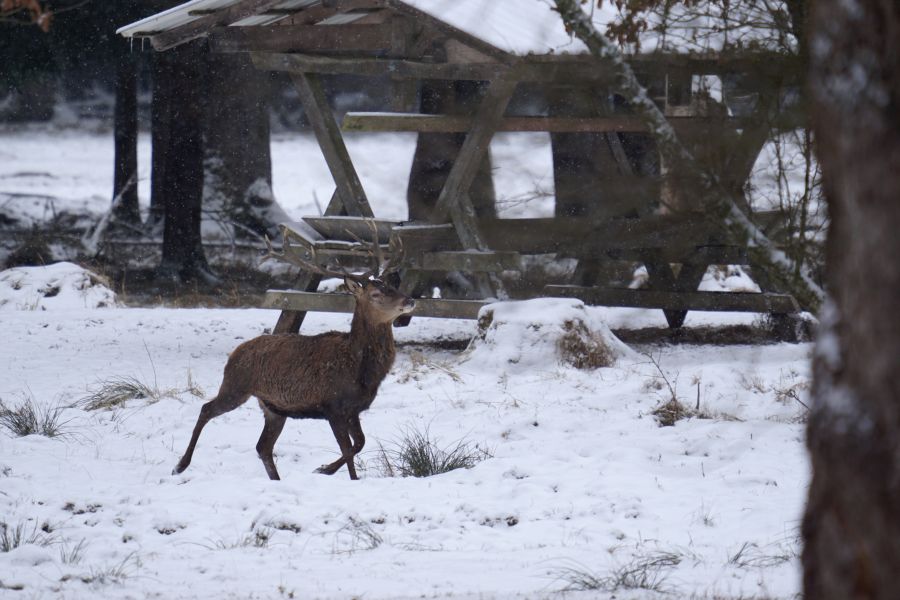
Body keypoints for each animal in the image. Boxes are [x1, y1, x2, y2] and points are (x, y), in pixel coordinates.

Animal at [172, 228, 414, 481]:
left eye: (392, 287)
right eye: (376, 294)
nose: (410, 300)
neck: (359, 368)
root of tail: (234, 354)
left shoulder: (353, 409)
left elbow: (360, 443)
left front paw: (324, 469)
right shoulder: (333, 406)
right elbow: (348, 449)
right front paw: (332, 472)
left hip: (273, 408)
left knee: (263, 446)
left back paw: (276, 480)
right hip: (235, 386)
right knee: (206, 409)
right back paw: (180, 465)